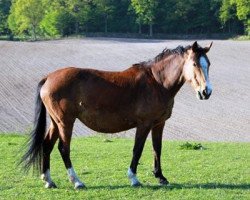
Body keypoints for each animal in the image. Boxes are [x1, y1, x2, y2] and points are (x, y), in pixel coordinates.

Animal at [21, 41, 213, 189]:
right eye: (195, 64)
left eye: (208, 64)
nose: (206, 92)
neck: (157, 82)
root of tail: (48, 77)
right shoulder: (144, 124)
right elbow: (137, 149)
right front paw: (134, 178)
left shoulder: (159, 124)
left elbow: (157, 149)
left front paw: (160, 177)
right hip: (65, 122)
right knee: (63, 148)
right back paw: (77, 181)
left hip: (56, 122)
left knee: (47, 146)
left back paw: (48, 180)